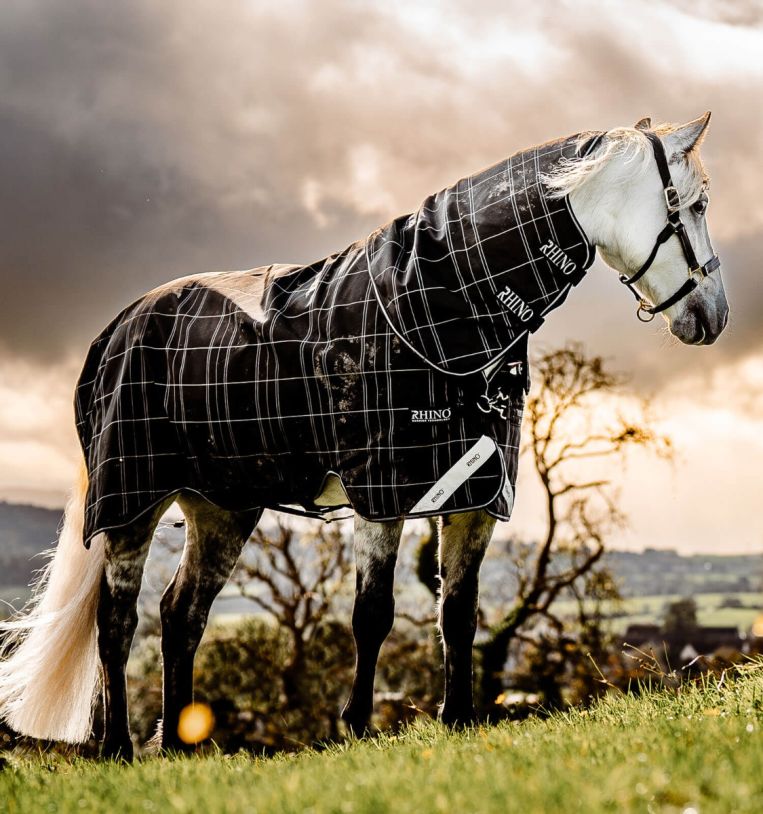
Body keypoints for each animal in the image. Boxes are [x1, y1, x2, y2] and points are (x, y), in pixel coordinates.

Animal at [0, 114, 728, 760]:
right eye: (691, 205)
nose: (713, 316)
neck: (440, 309)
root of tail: (117, 330)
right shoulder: (382, 493)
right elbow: (372, 612)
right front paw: (355, 725)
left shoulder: (474, 497)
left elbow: (457, 613)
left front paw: (458, 719)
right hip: (132, 503)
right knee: (118, 621)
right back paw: (119, 747)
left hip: (222, 507)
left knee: (181, 616)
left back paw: (179, 748)